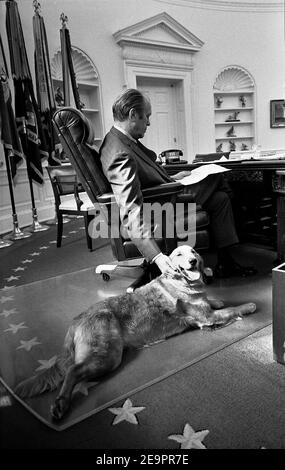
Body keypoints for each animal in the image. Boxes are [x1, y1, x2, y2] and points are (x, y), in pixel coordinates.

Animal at [14, 244, 256, 420]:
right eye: (179, 254)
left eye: (194, 252)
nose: (193, 261)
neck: (180, 282)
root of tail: (76, 320)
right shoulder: (207, 318)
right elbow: (233, 308)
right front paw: (249, 305)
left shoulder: (207, 310)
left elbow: (216, 302)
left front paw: (216, 299)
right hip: (107, 355)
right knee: (73, 370)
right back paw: (61, 404)